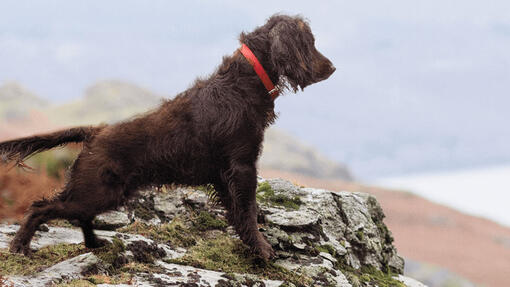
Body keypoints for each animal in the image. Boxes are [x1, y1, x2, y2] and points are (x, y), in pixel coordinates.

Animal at [0, 14, 334, 260]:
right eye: (310, 42)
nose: (332, 67)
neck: (242, 84)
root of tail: (96, 131)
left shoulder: (226, 174)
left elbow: (240, 212)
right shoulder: (242, 165)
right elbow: (247, 210)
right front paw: (263, 249)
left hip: (103, 193)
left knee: (78, 215)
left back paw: (94, 244)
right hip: (96, 192)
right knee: (41, 208)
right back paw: (20, 246)